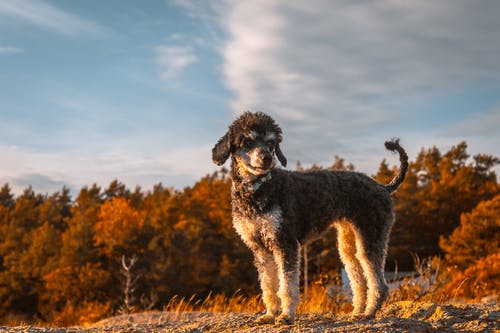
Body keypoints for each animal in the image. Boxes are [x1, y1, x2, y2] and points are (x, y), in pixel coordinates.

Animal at [210, 110, 406, 322]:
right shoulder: (260, 248)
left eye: (271, 143)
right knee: (358, 281)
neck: (256, 190)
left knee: (380, 284)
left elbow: (287, 285)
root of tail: (383, 187)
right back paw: (358, 311)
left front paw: (286, 315)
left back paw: (369, 312)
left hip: (370, 239)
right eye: (247, 141)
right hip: (348, 245)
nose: (267, 158)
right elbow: (268, 285)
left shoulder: (285, 243)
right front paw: (270, 314)